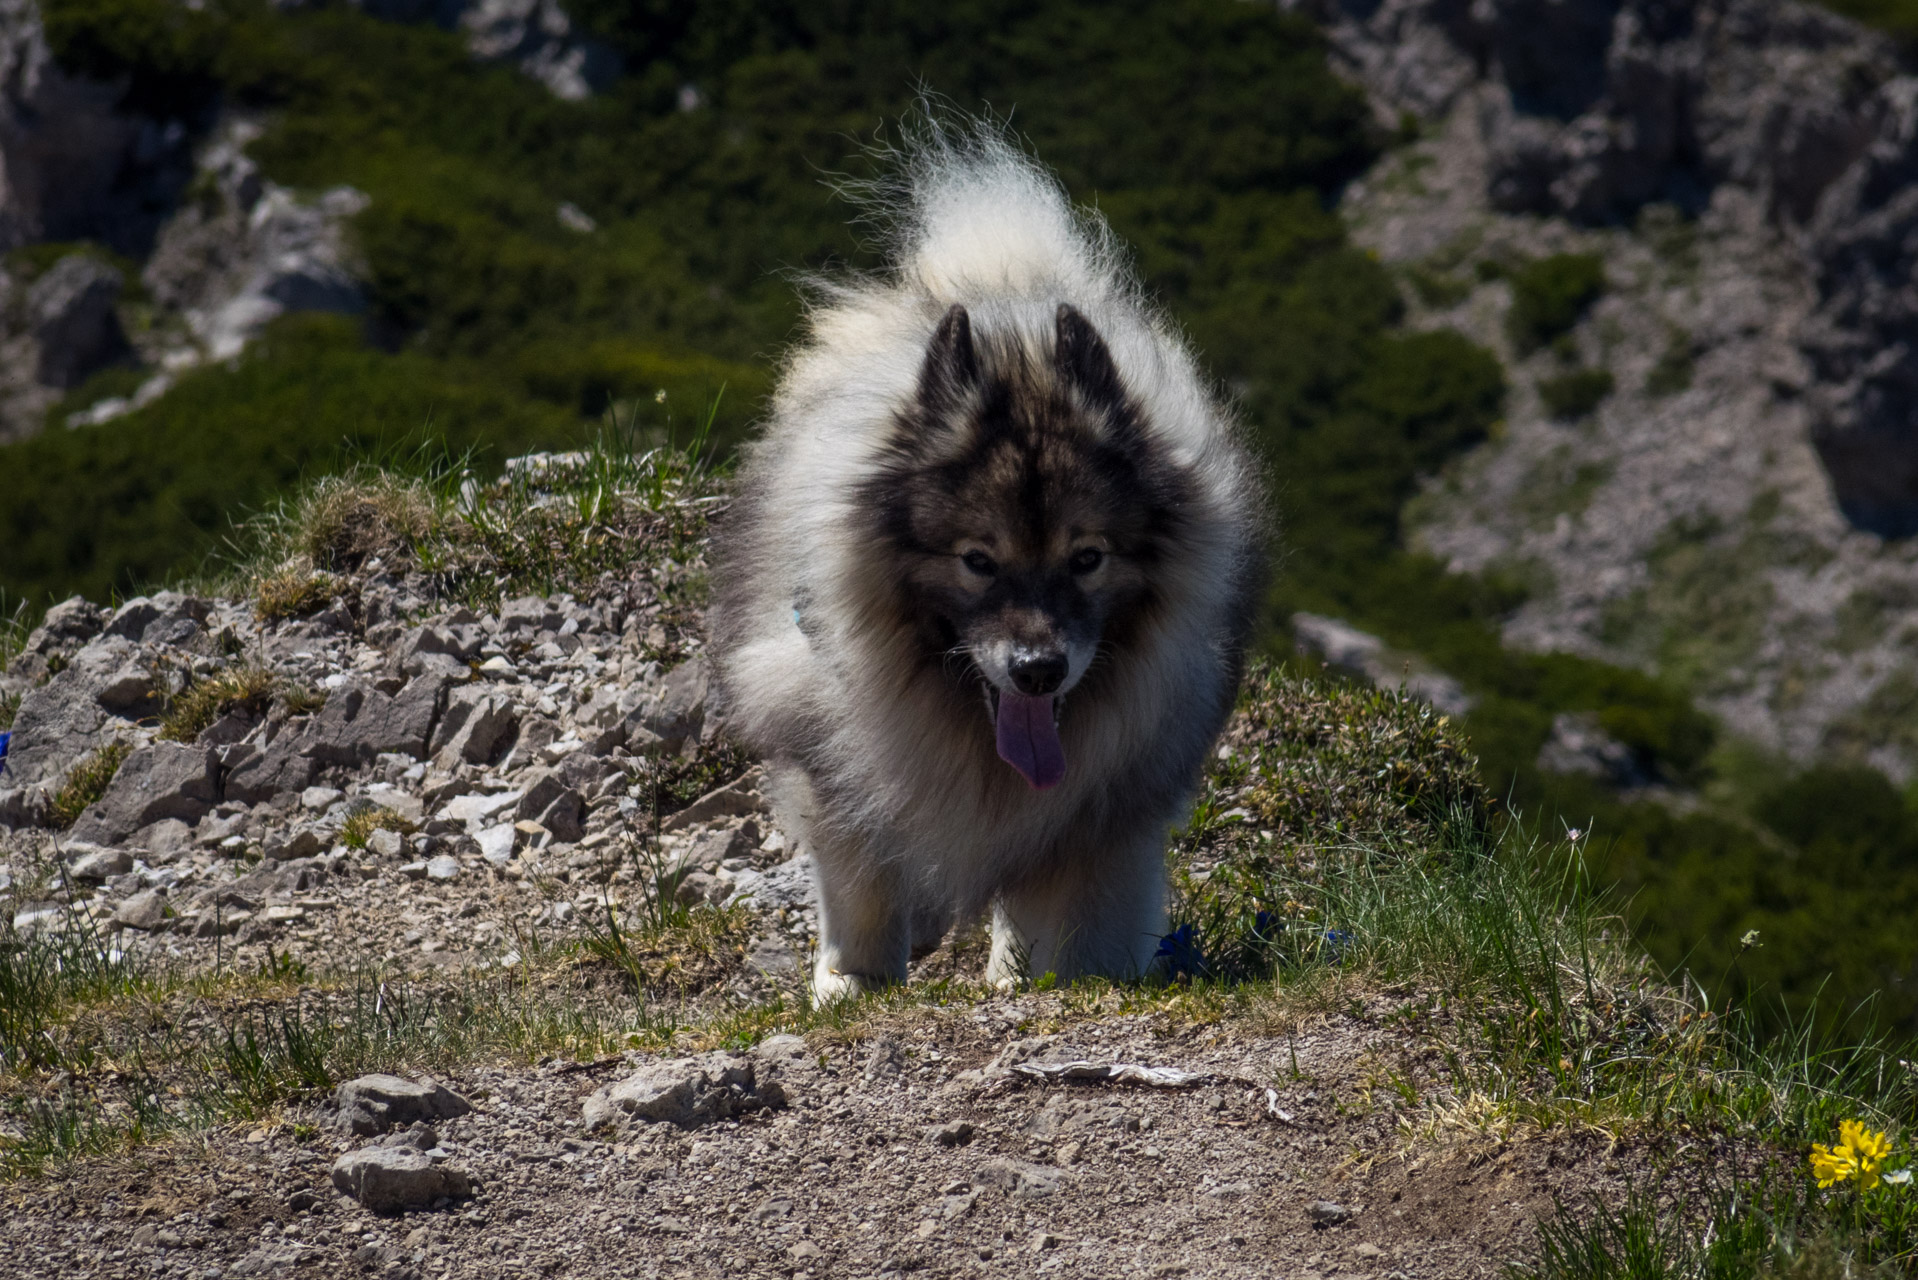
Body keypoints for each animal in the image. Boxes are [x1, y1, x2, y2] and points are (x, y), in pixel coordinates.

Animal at [705, 124, 1258, 1005]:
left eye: (1088, 558)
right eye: (976, 560)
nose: (1038, 669)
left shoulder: (1112, 801)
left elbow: (1081, 908)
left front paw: (1065, 979)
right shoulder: (835, 762)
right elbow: (861, 887)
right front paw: (853, 982)